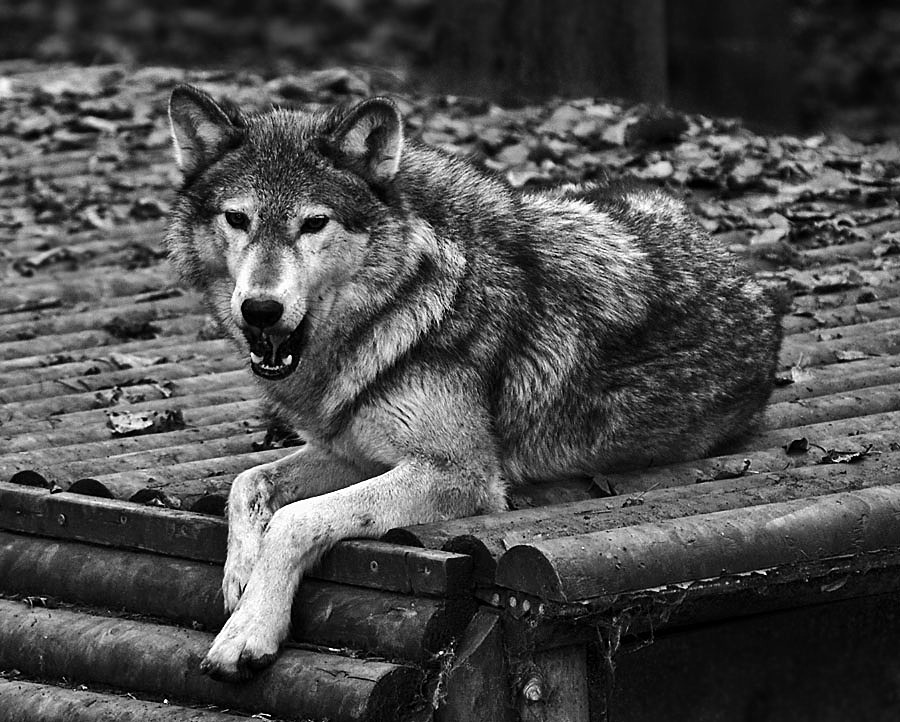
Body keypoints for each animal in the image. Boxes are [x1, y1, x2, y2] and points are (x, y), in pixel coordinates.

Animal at [166, 84, 783, 680]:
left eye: (313, 223)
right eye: (238, 219)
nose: (260, 310)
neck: (409, 296)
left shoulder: (461, 475)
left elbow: (295, 520)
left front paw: (250, 630)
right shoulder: (352, 450)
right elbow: (247, 483)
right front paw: (241, 577)